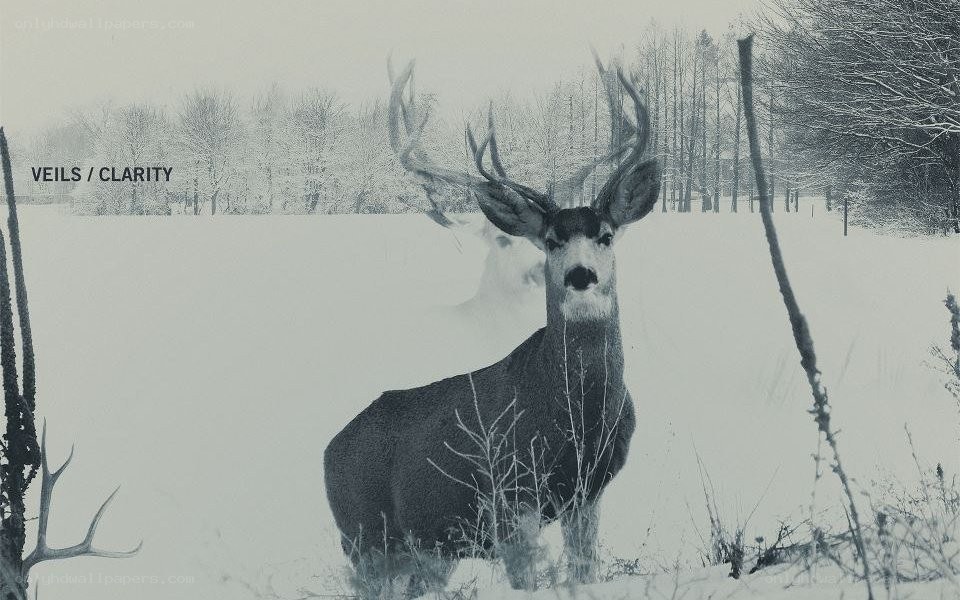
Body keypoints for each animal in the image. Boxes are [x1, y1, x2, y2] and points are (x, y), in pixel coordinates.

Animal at [324, 59, 660, 597]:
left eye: (606, 235)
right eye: (551, 239)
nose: (580, 276)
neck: (574, 418)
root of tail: (328, 450)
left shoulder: (587, 492)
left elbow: (584, 572)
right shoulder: (508, 494)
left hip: (429, 549)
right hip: (365, 539)